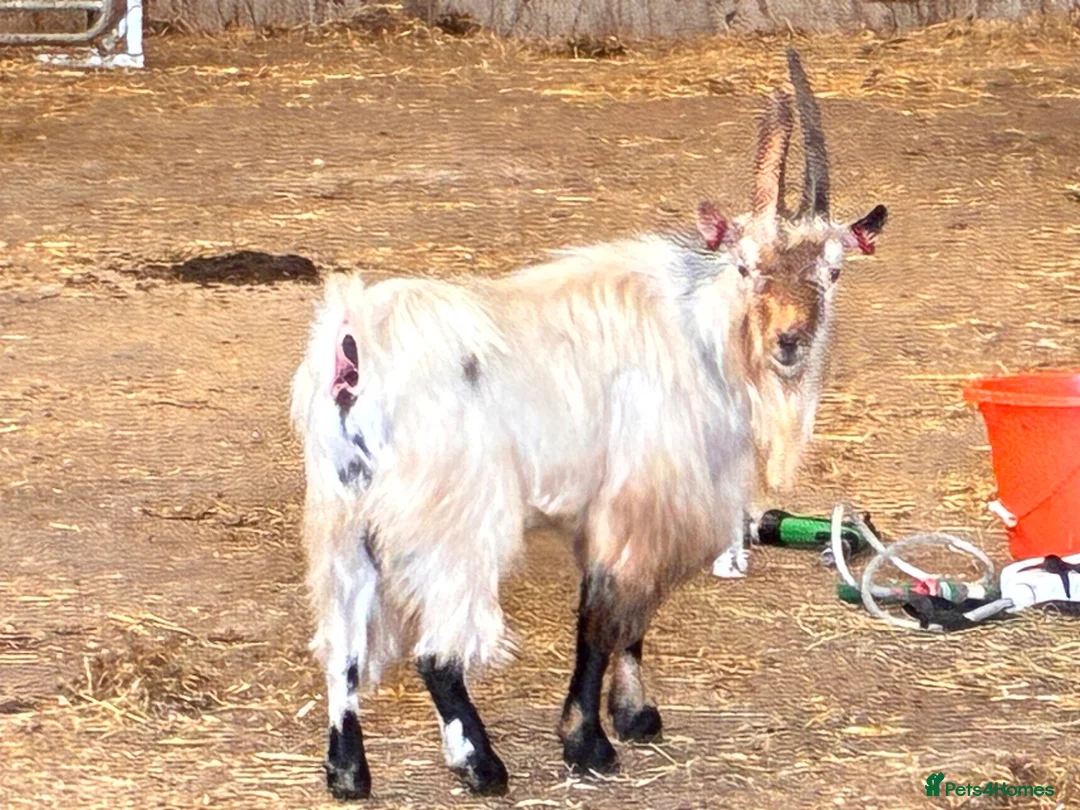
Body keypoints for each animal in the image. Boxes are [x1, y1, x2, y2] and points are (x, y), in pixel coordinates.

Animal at [289, 48, 887, 801]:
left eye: (833, 271)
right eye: (747, 265)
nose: (789, 341)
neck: (700, 333)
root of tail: (354, 346)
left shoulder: (611, 506)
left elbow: (629, 618)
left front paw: (633, 716)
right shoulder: (638, 500)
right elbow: (605, 619)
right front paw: (590, 742)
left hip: (342, 512)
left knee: (341, 643)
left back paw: (347, 771)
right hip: (452, 516)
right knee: (437, 648)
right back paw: (481, 765)